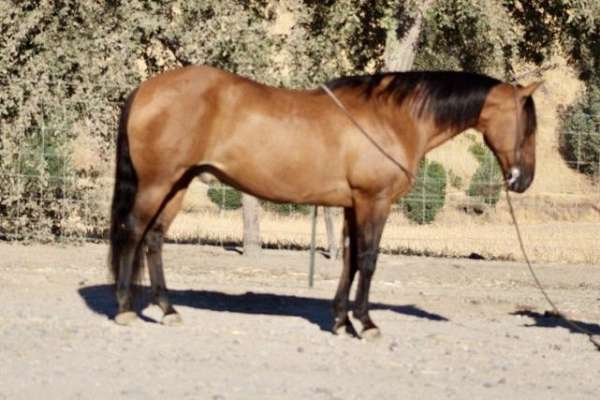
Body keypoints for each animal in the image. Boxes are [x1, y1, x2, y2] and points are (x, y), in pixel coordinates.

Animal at [109, 66, 544, 338]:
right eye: (528, 127)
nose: (522, 181)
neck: (392, 118)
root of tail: (146, 89)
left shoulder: (353, 205)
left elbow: (349, 261)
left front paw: (341, 322)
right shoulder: (374, 201)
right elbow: (367, 260)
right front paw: (366, 324)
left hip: (177, 184)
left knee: (154, 239)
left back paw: (168, 310)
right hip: (158, 183)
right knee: (133, 232)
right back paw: (126, 309)